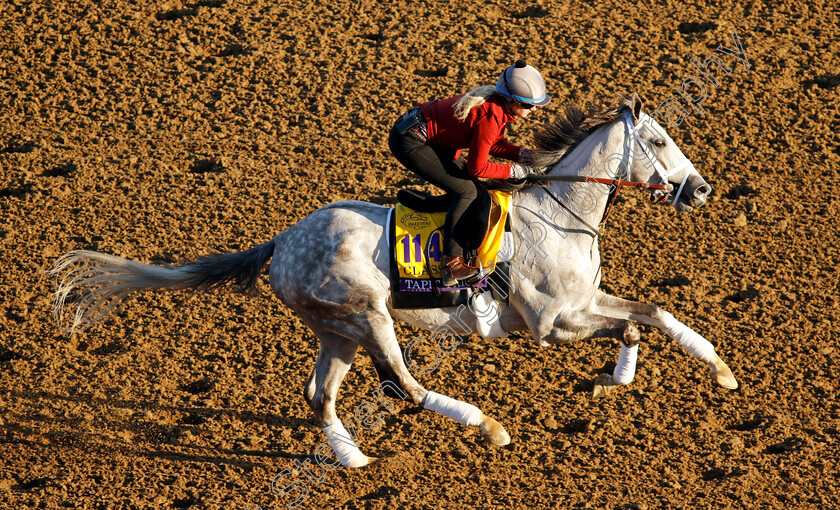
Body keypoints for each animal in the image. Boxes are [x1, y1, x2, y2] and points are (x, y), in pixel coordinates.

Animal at [52, 93, 736, 468]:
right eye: (658, 140)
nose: (702, 189)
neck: (559, 211)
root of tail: (282, 244)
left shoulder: (586, 302)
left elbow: (649, 316)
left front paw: (691, 372)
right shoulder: (553, 323)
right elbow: (637, 320)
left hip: (337, 330)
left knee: (318, 395)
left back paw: (355, 457)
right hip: (370, 315)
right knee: (400, 384)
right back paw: (487, 426)